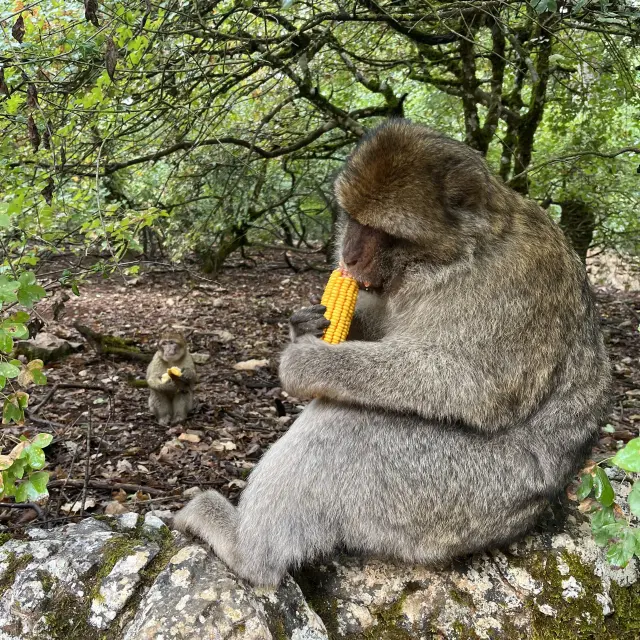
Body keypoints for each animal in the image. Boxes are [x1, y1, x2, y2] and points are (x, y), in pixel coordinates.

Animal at [175, 119, 611, 587]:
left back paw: (248, 551)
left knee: (347, 425)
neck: (460, 256)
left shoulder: (510, 283)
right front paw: (307, 324)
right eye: (352, 219)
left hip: (457, 499)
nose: (347, 256)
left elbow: (473, 382)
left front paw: (308, 362)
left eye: (384, 233)